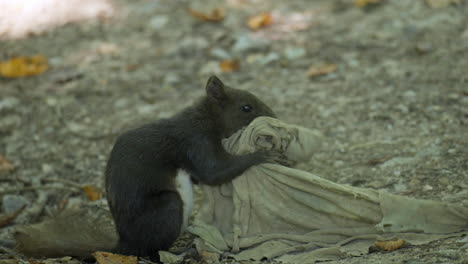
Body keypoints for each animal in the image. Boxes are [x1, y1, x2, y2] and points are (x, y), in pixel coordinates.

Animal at [13, 76, 282, 260]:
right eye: (246, 108)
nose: (276, 117)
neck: (205, 118)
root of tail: (124, 245)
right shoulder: (195, 141)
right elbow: (214, 171)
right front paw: (264, 155)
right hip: (166, 208)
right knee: (151, 251)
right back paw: (183, 251)